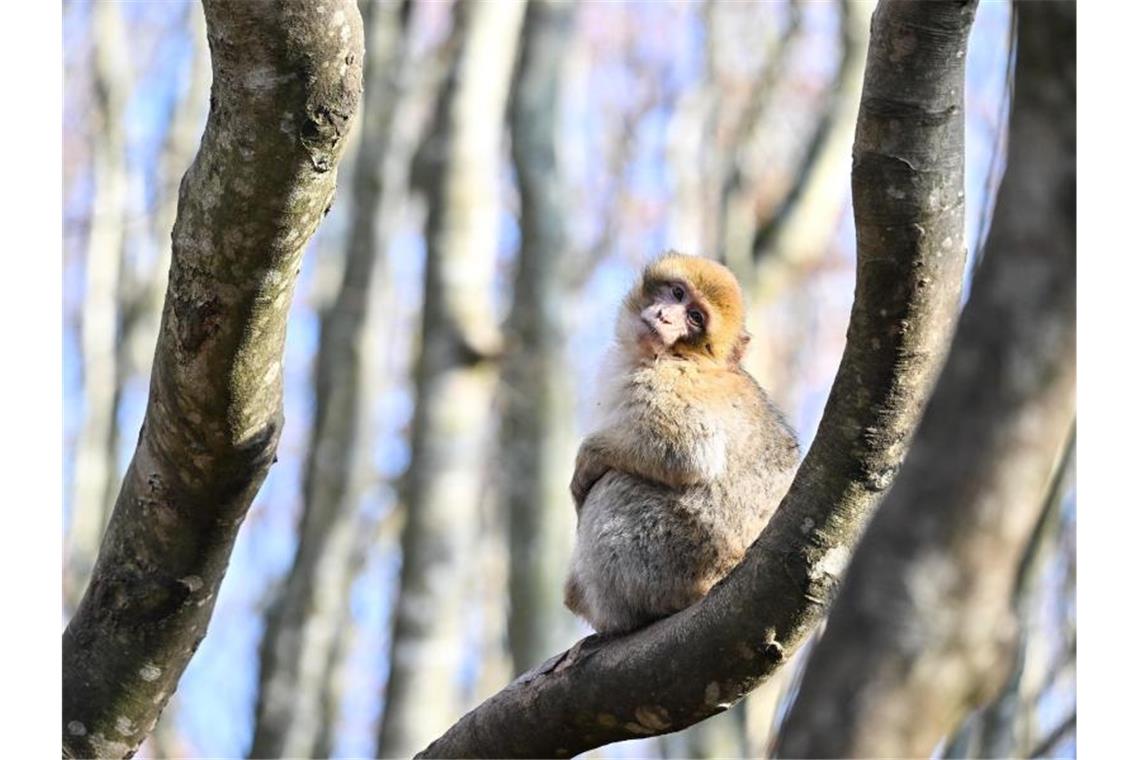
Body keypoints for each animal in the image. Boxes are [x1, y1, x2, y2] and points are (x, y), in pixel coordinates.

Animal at [563, 252, 798, 633]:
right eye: (677, 293)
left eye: (695, 318)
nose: (665, 316)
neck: (679, 355)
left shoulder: (669, 381)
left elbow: (689, 451)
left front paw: (589, 458)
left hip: (670, 558)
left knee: (615, 484)